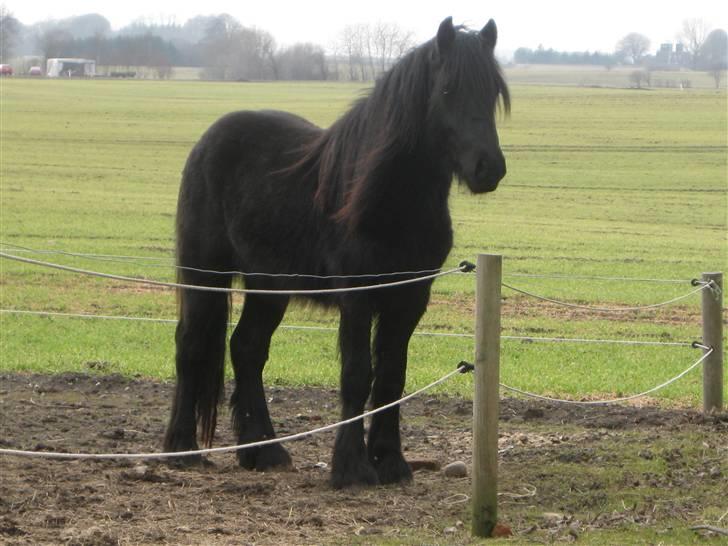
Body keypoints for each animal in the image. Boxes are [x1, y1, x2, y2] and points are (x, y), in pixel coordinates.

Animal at [163, 16, 510, 488]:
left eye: (492, 91)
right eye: (446, 90)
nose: (488, 168)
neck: (386, 200)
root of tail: (209, 139)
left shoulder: (410, 298)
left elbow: (391, 377)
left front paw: (391, 461)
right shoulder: (357, 296)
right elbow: (357, 375)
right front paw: (352, 467)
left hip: (268, 285)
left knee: (247, 348)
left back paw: (265, 451)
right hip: (206, 273)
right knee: (192, 345)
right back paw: (182, 450)